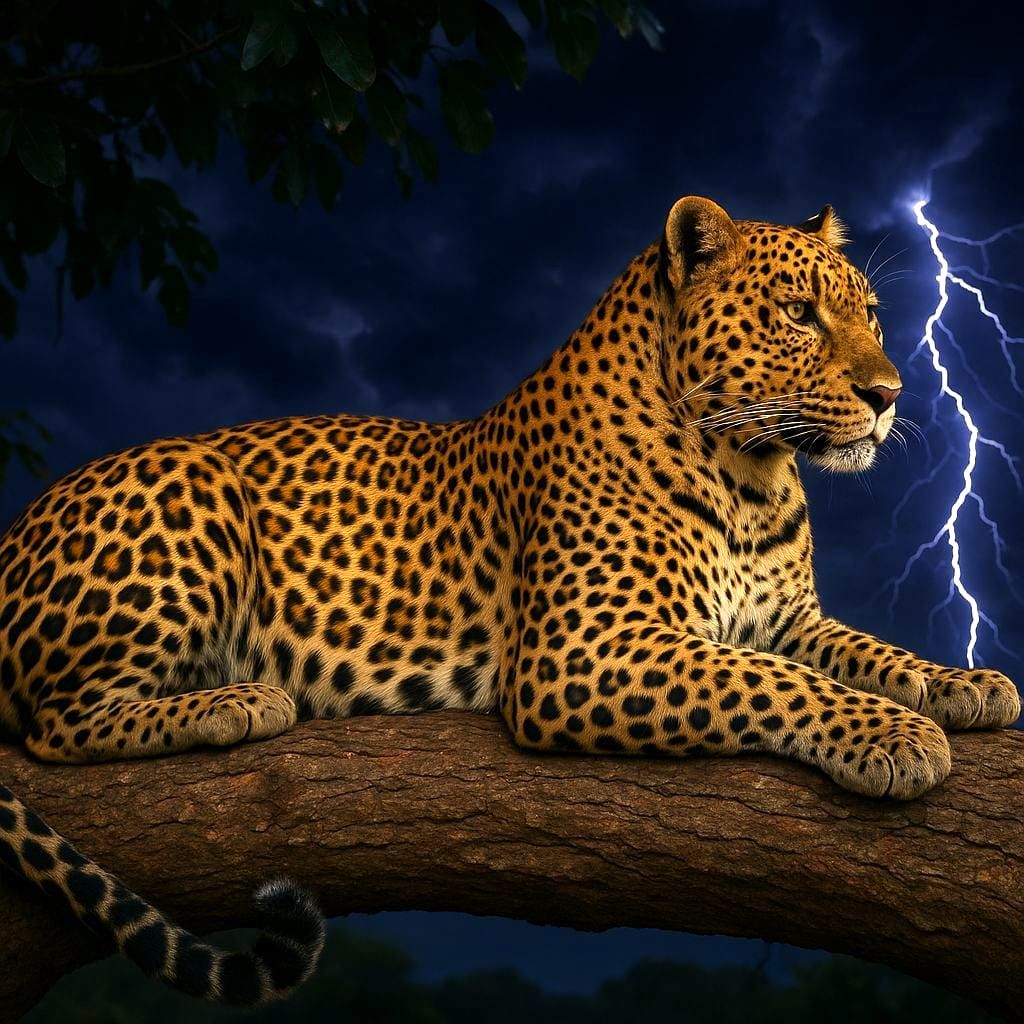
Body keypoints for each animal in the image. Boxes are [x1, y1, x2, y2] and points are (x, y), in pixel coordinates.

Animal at [0, 195, 1019, 1006]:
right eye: (798, 314)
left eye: (874, 316)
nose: (890, 393)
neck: (753, 474)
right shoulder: (583, 649)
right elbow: (771, 682)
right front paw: (897, 736)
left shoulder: (786, 618)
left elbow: (864, 652)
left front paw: (962, 684)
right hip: (192, 485)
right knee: (59, 724)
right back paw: (239, 699)